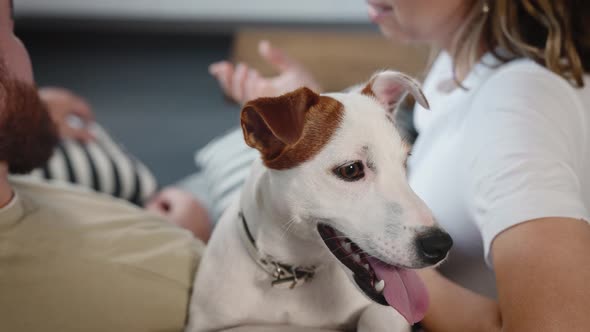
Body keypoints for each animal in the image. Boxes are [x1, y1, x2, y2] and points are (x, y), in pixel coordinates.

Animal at [190, 71, 454, 330]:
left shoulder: (387, 313)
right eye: (350, 170)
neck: (294, 273)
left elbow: (374, 317)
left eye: (404, 162)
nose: (440, 245)